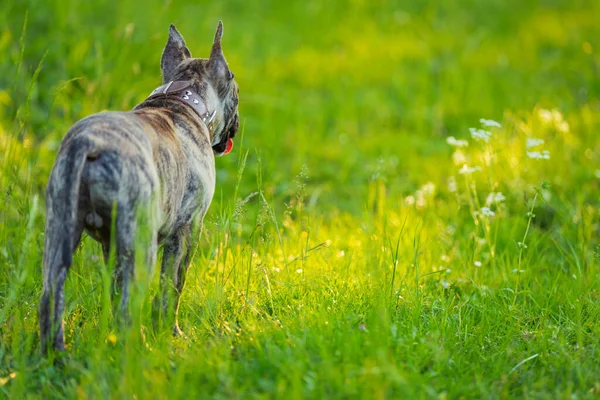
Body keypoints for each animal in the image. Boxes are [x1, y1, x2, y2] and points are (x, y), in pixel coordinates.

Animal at [38, 22, 241, 354]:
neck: (182, 99)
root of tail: (89, 144)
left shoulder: (112, 246)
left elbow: (116, 287)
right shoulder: (187, 232)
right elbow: (172, 287)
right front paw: (171, 333)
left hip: (59, 233)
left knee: (50, 297)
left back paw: (55, 357)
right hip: (142, 247)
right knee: (129, 308)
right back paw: (138, 349)